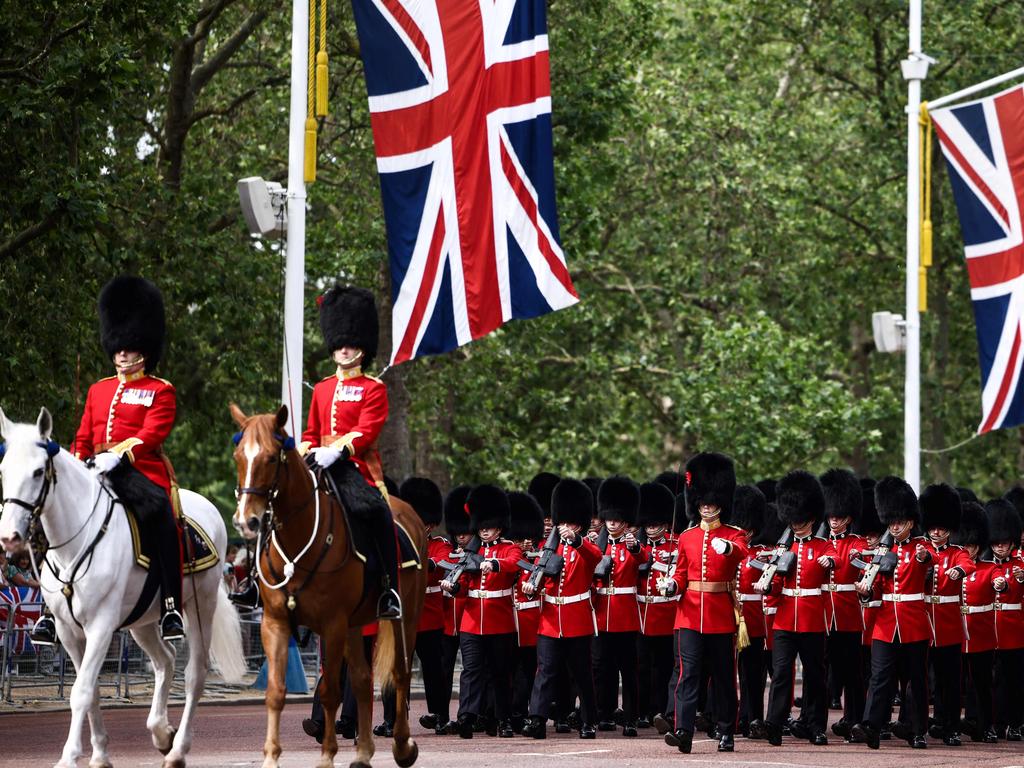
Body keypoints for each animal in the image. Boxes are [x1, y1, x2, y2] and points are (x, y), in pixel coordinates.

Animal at [0, 411, 245, 768]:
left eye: (37, 471)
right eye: (4, 470)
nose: (10, 537)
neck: (76, 539)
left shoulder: (101, 626)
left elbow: (82, 691)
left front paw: (70, 756)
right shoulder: (69, 631)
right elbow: (90, 689)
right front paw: (100, 754)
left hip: (201, 607)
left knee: (194, 674)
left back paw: (178, 749)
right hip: (143, 621)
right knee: (165, 660)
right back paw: (161, 732)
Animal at [231, 403, 423, 768]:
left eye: (271, 458)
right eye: (238, 456)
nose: (247, 522)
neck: (299, 538)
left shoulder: (332, 624)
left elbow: (330, 690)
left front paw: (327, 756)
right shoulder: (275, 622)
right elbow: (276, 691)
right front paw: (271, 757)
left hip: (404, 614)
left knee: (400, 672)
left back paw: (402, 745)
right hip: (356, 622)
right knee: (362, 679)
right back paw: (363, 753)